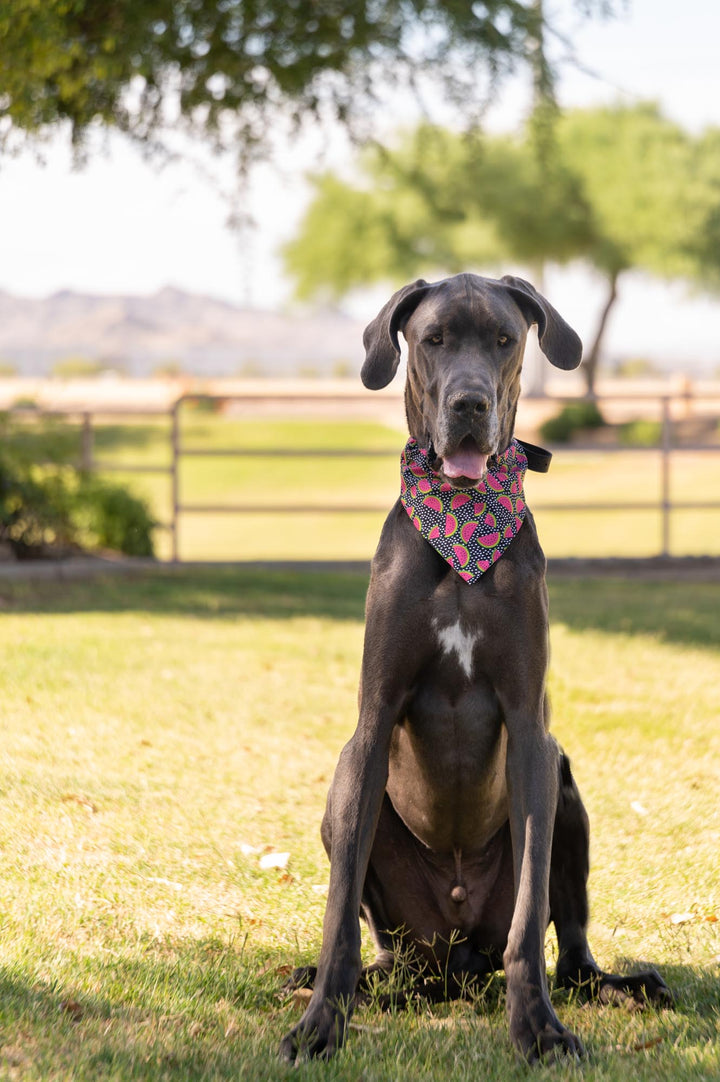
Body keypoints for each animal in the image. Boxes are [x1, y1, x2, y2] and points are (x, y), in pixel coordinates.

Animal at [279, 272, 666, 1064]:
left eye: (504, 339)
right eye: (432, 339)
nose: (469, 405)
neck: (460, 518)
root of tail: (454, 959)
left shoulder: (530, 733)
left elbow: (530, 918)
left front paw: (539, 1028)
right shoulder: (371, 725)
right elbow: (337, 913)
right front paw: (319, 1023)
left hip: (567, 790)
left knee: (570, 950)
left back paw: (615, 985)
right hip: (354, 817)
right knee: (386, 952)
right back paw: (348, 983)